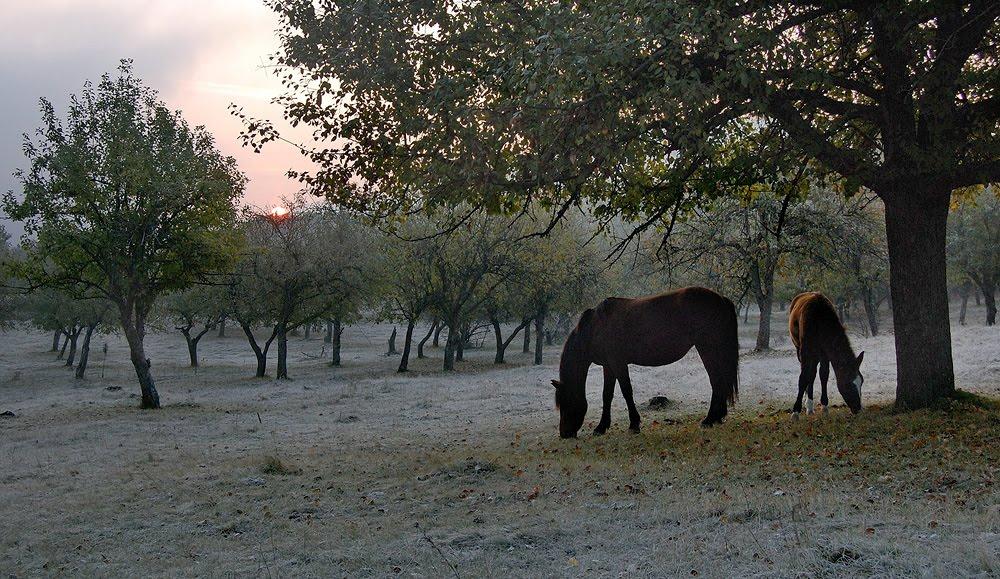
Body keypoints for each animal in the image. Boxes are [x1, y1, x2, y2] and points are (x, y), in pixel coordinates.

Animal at [552, 288, 740, 438]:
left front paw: (634, 425)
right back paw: (718, 417)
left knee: (716, 380)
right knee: (720, 381)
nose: (564, 434)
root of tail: (721, 299)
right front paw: (601, 427)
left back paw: (709, 420)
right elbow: (607, 395)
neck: (594, 328)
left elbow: (627, 392)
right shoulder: (609, 366)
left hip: (707, 348)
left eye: (565, 403)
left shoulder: (618, 363)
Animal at [784, 292, 864, 420]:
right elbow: (803, 378)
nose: (857, 408)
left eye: (861, 382)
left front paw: (825, 406)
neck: (820, 320)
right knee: (807, 374)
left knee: (812, 374)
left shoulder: (825, 354)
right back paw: (808, 405)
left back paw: (810, 406)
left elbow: (824, 375)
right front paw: (795, 412)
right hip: (799, 350)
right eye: (848, 384)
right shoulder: (805, 352)